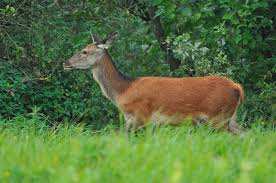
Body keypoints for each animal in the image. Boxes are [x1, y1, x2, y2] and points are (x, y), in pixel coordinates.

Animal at [63, 31, 244, 134]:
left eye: (84, 51)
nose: (66, 62)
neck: (123, 90)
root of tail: (237, 87)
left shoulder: (140, 115)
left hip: (219, 117)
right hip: (230, 118)